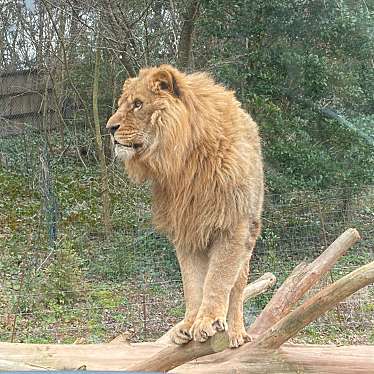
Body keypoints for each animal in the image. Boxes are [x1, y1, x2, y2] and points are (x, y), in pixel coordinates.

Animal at [106, 64, 262, 348]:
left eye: (138, 104)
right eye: (122, 104)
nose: (110, 128)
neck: (183, 163)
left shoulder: (233, 227)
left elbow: (218, 280)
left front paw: (209, 321)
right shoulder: (187, 232)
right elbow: (193, 284)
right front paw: (189, 324)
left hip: (249, 235)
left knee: (237, 290)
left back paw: (236, 333)